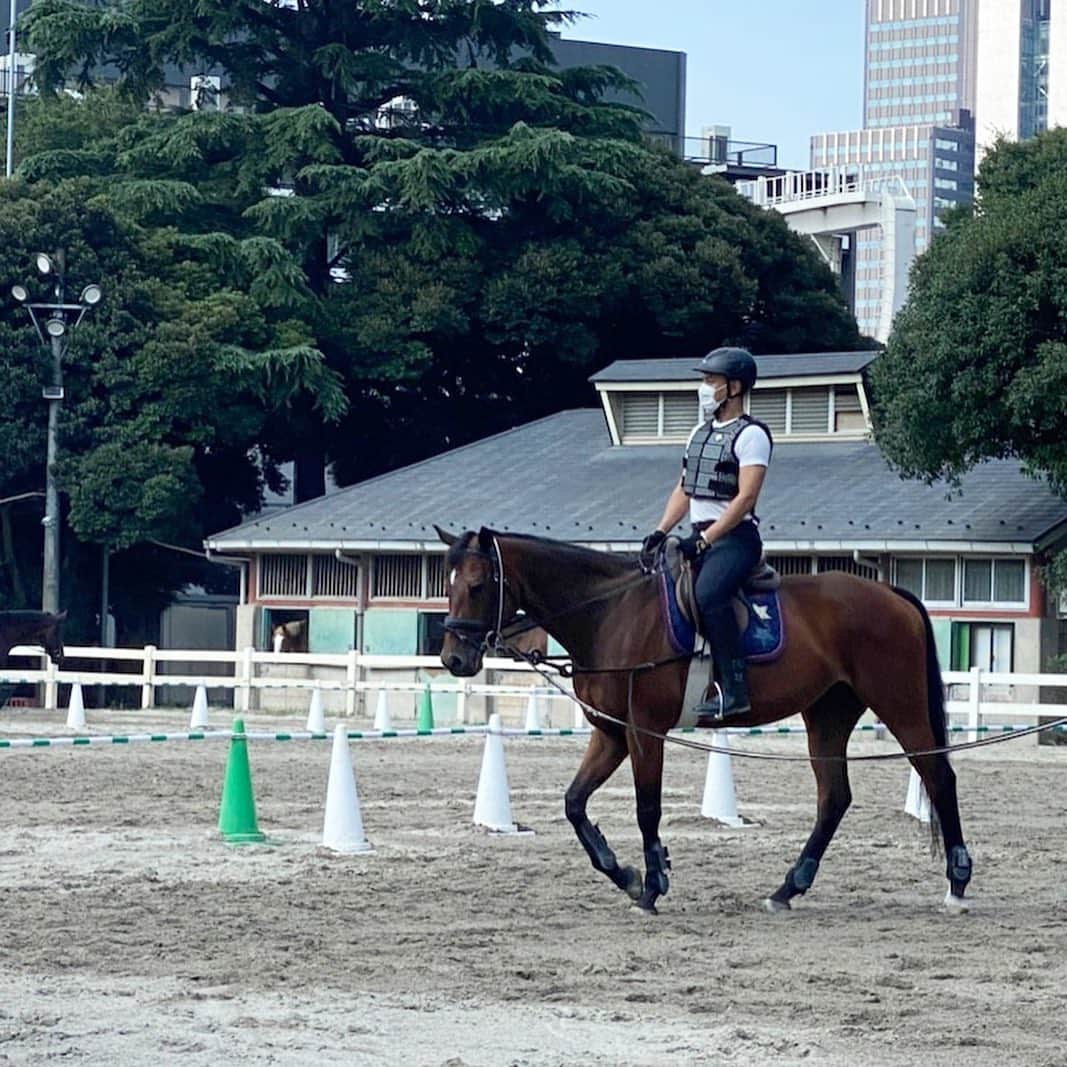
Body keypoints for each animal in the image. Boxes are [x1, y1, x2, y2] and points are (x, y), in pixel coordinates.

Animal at [437, 529, 973, 913]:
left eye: (478, 586)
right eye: (448, 587)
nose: (453, 659)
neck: (611, 614)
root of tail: (890, 593)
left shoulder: (643, 731)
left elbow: (646, 808)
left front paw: (652, 886)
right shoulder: (611, 734)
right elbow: (574, 804)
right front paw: (626, 875)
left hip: (899, 704)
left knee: (939, 777)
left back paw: (957, 883)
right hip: (828, 714)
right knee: (834, 798)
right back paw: (787, 888)